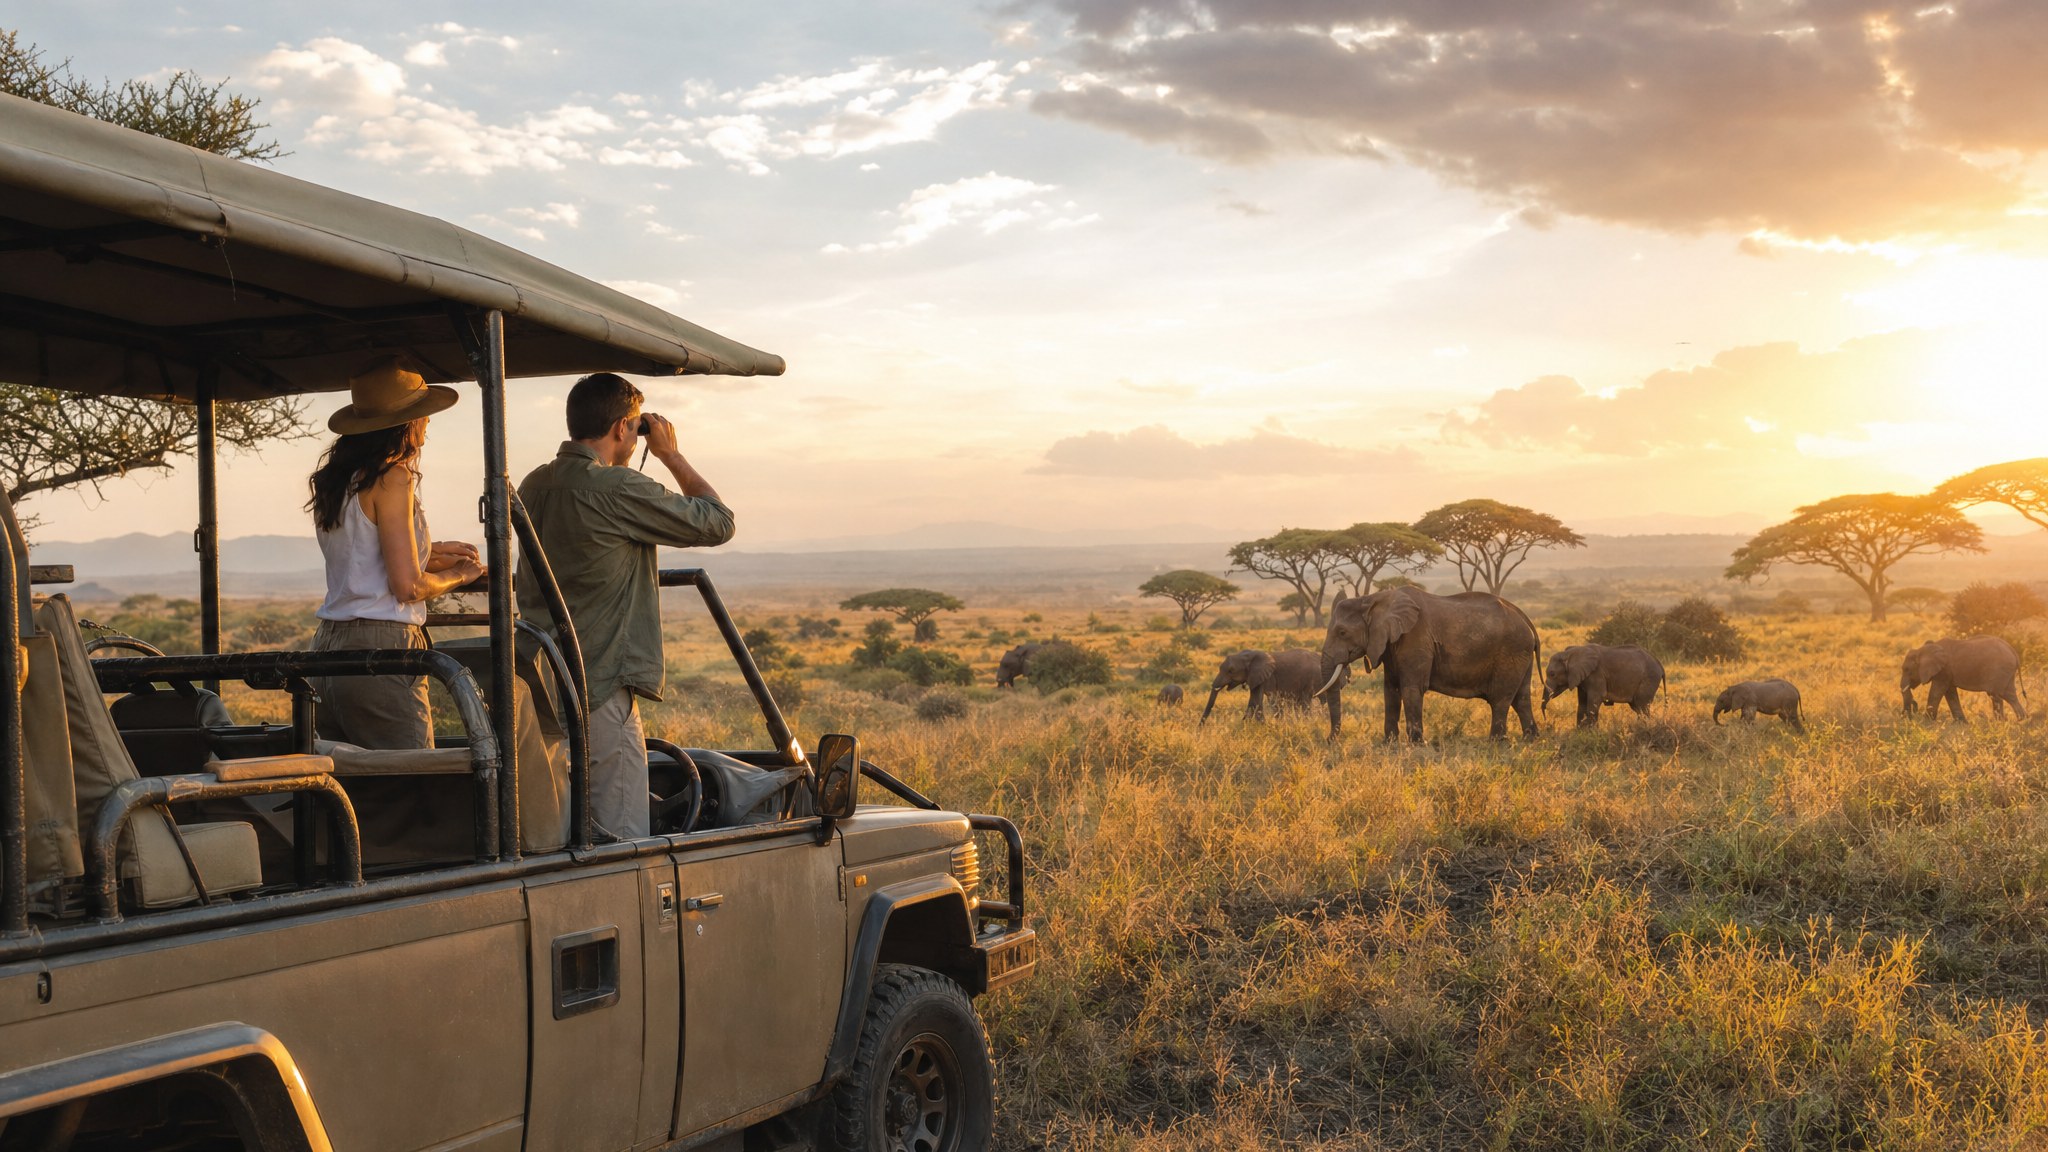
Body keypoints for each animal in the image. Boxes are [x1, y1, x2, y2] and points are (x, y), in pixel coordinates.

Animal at [1199, 649, 1345, 736]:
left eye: (1231, 670)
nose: (1199, 729)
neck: (1250, 655)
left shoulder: (1268, 677)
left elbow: (1264, 701)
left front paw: (1268, 727)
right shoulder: (1255, 677)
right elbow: (1252, 702)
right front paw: (1246, 725)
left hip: (1311, 679)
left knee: (1306, 702)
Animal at [1318, 587, 1539, 742]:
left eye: (1342, 632)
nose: (1329, 740)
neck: (1373, 598)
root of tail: (1525, 618)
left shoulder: (1415, 639)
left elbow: (1411, 689)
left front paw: (1417, 744)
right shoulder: (1391, 646)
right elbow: (1390, 690)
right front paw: (1389, 744)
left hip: (1511, 650)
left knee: (1501, 698)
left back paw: (1495, 742)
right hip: (1520, 654)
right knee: (1521, 698)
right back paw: (1531, 739)